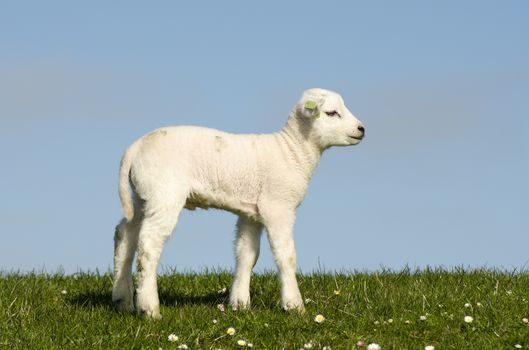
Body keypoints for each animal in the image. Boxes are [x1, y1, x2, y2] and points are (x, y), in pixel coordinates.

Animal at [111, 87, 364, 318]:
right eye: (331, 113)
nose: (362, 129)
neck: (292, 151)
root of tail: (135, 148)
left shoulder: (251, 212)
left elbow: (247, 254)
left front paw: (240, 303)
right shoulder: (278, 207)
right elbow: (286, 255)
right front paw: (294, 305)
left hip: (142, 196)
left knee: (125, 234)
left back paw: (122, 299)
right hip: (164, 193)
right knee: (149, 243)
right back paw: (149, 309)